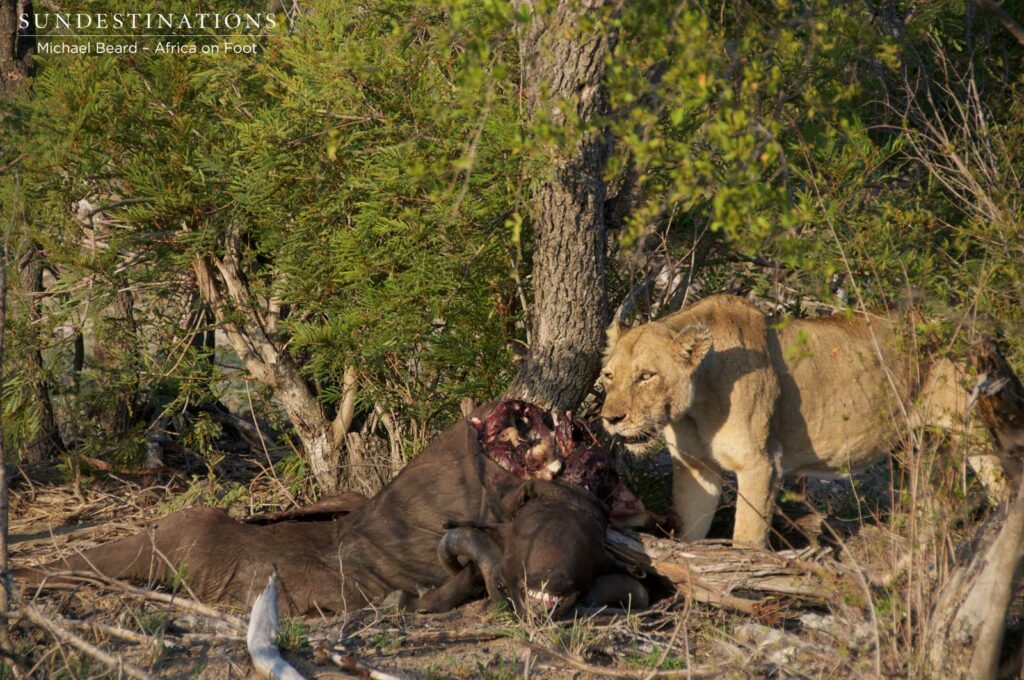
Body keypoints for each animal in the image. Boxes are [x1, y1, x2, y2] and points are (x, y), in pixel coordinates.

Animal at [599, 293, 995, 548]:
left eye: (646, 376)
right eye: (608, 376)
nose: (610, 419)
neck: (696, 406)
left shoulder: (761, 464)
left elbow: (746, 540)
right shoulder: (696, 468)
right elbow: (689, 534)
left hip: (978, 432)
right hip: (921, 447)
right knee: (934, 506)